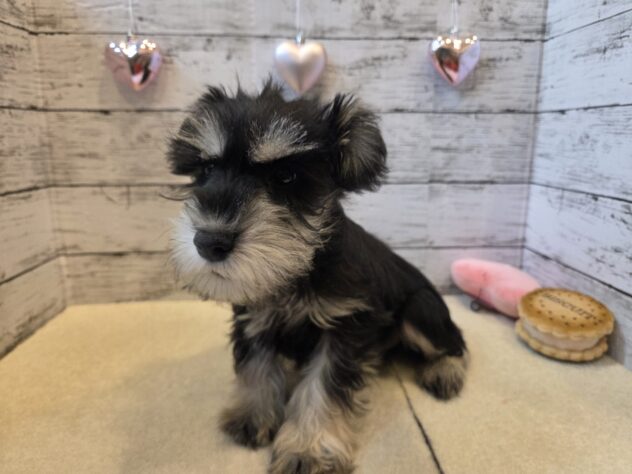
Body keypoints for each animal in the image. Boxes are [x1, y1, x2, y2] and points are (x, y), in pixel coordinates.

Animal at [168, 82, 467, 473]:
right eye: (206, 169)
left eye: (286, 177)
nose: (208, 241)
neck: (297, 271)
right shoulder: (255, 318)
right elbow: (256, 366)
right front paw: (253, 415)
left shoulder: (345, 327)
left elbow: (322, 388)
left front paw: (307, 450)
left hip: (421, 310)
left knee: (455, 341)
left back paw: (445, 372)